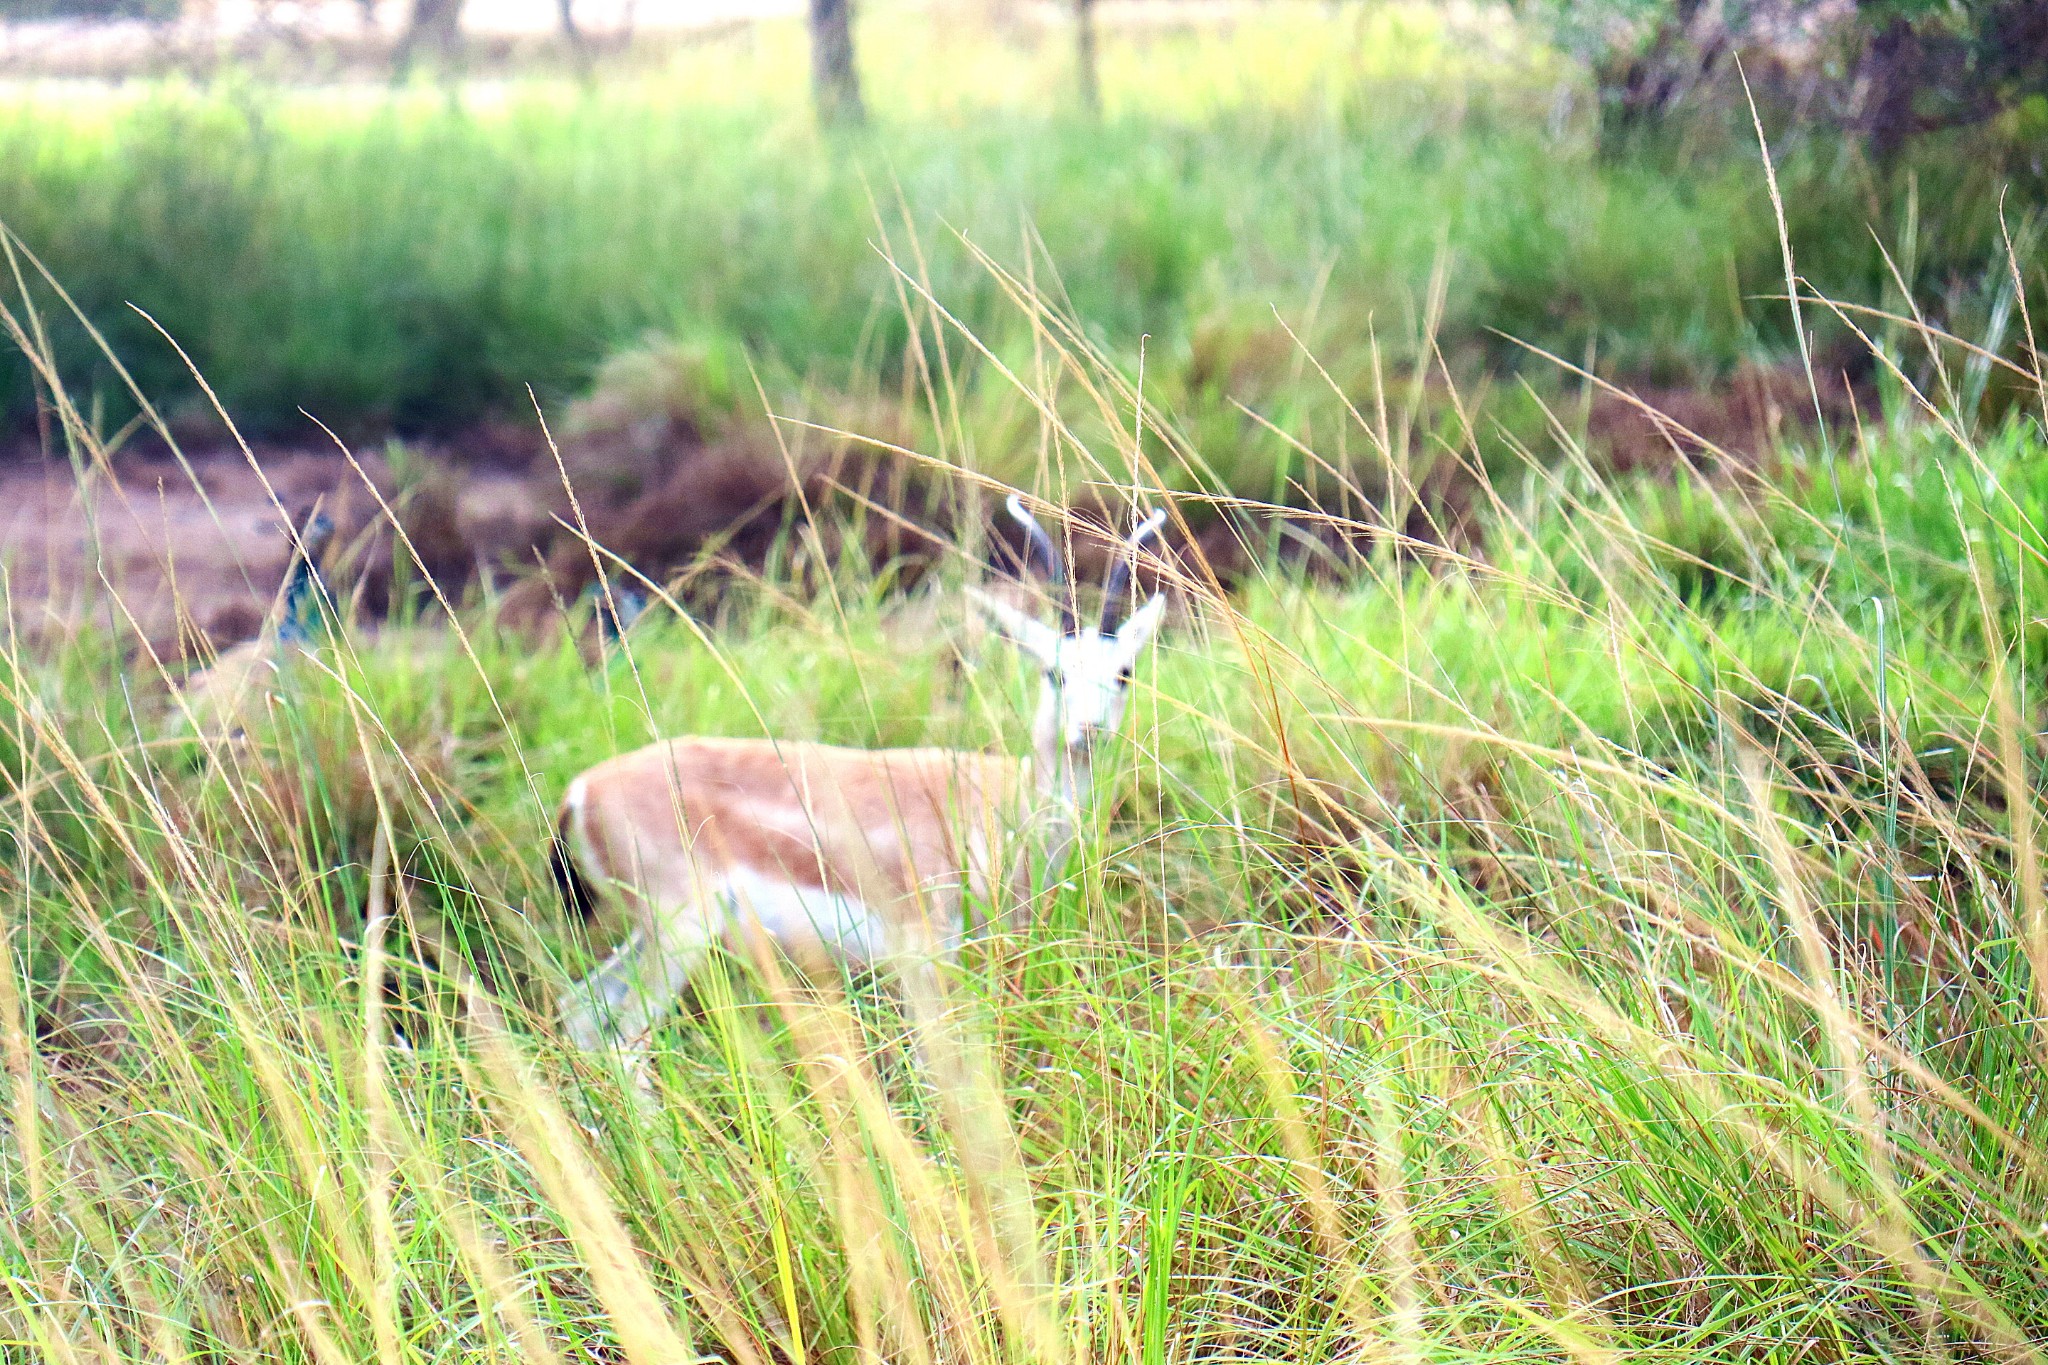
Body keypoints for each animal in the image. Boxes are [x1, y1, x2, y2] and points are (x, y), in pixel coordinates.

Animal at [552, 497, 1179, 1055]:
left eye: (1125, 672)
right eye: (1054, 671)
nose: (1088, 731)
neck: (1001, 805)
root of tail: (580, 791)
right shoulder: (925, 956)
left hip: (652, 935)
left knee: (580, 1012)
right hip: (679, 933)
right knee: (623, 1037)